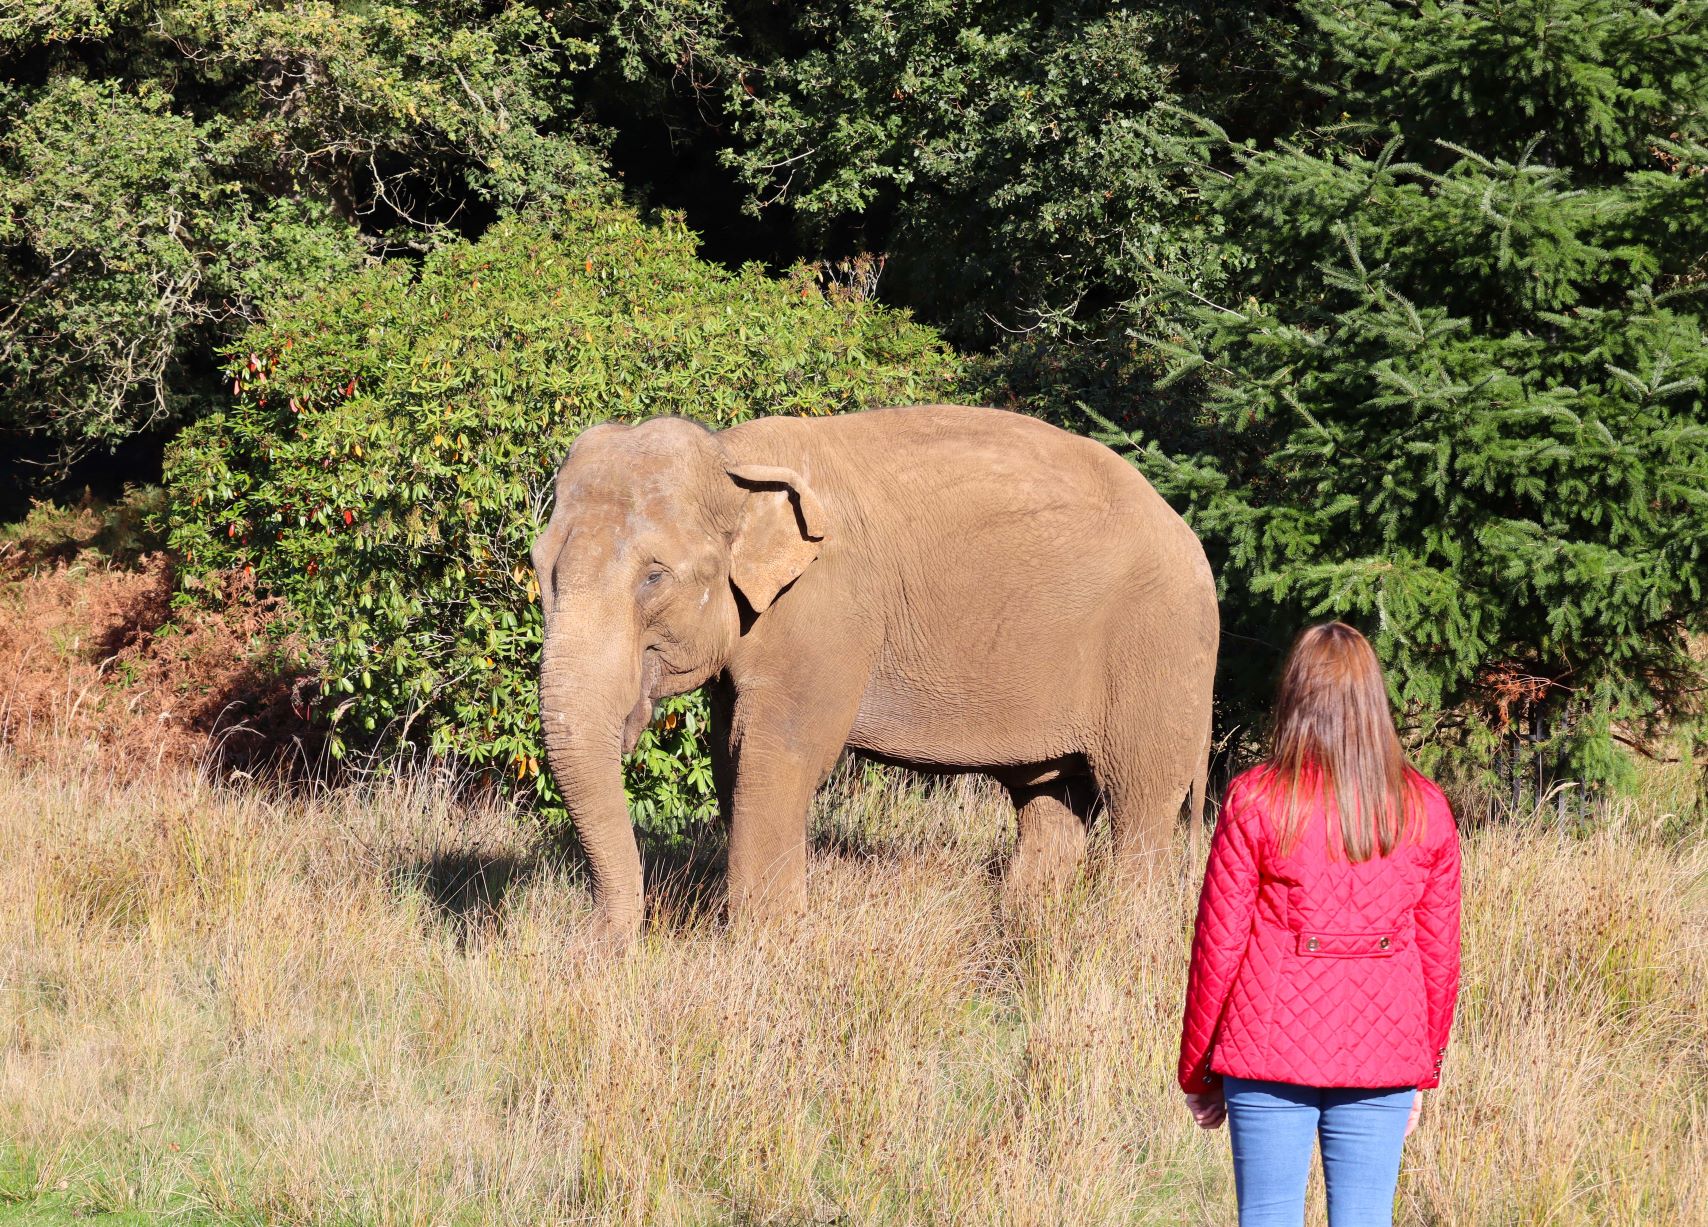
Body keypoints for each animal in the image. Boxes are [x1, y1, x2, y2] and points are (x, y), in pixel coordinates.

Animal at [532, 403, 1216, 943]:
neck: (734, 458)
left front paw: (764, 947)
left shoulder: (827, 609)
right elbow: (730, 754)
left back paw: (1119, 935)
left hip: (1158, 651)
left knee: (1138, 802)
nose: (607, 951)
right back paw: (1028, 928)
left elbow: (777, 753)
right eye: (541, 567)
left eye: (654, 577)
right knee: (1048, 798)